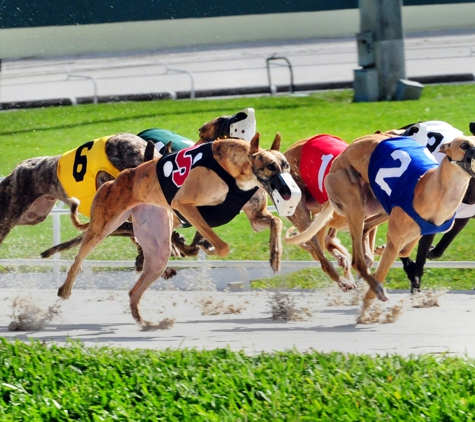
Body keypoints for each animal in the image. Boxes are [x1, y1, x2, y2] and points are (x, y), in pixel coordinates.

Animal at [59, 134, 290, 324]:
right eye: (270, 166)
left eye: (286, 165)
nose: (287, 191)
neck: (233, 169)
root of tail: (113, 182)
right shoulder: (183, 204)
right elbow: (222, 246)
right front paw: (205, 247)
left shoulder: (255, 216)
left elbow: (275, 222)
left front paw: (275, 256)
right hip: (103, 226)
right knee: (78, 259)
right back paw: (65, 289)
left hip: (156, 242)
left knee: (136, 288)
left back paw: (147, 323)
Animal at [286, 134, 475, 314]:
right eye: (464, 145)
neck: (430, 189)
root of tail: (340, 157)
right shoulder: (397, 237)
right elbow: (388, 262)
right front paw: (369, 303)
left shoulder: (423, 230)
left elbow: (405, 250)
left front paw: (379, 252)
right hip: (351, 200)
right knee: (348, 252)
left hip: (374, 204)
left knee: (355, 229)